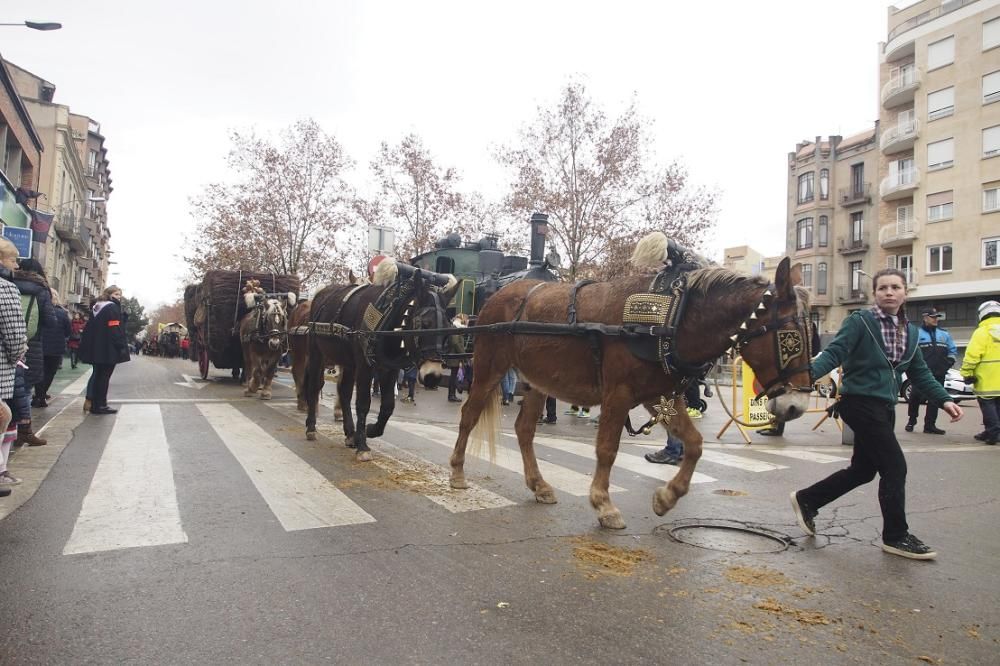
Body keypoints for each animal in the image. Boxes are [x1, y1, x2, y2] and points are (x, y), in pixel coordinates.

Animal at [304, 256, 460, 460]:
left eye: (448, 328)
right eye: (424, 324)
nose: (433, 377)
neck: (389, 319)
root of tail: (321, 294)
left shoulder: (390, 368)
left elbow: (388, 405)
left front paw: (370, 431)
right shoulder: (365, 366)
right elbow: (363, 403)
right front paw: (363, 446)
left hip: (348, 362)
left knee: (344, 392)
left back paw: (350, 433)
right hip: (317, 353)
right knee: (314, 387)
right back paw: (311, 427)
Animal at [450, 231, 816, 528]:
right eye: (790, 337)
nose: (797, 405)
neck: (672, 314)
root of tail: (500, 296)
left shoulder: (659, 396)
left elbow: (695, 444)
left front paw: (666, 497)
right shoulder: (619, 394)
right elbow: (607, 449)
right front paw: (603, 504)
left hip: (538, 381)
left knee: (525, 430)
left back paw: (539, 485)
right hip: (489, 369)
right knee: (469, 416)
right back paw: (456, 472)